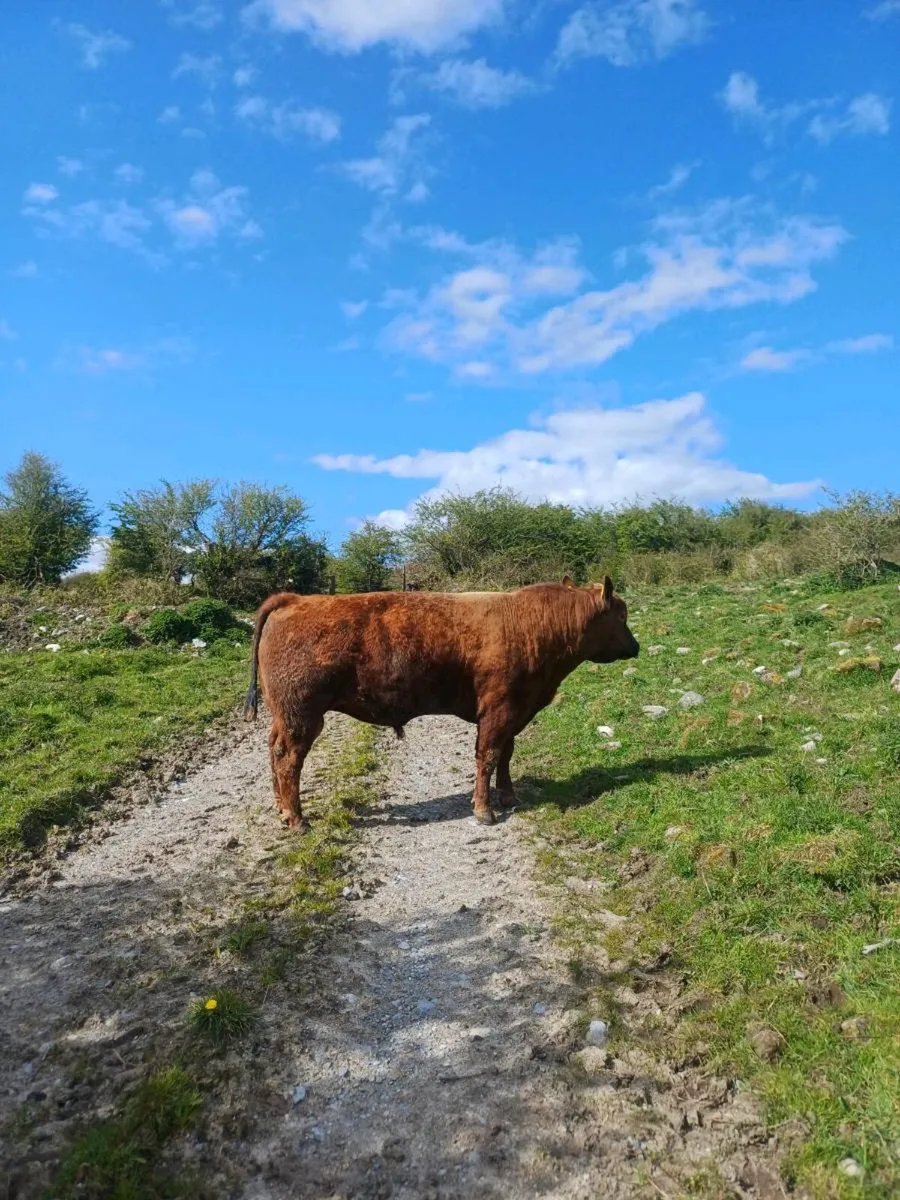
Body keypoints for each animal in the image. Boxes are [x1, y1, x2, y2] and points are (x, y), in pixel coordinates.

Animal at [245, 577, 639, 828]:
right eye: (621, 616)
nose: (635, 647)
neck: (529, 624)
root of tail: (295, 600)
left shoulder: (516, 712)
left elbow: (506, 755)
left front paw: (509, 797)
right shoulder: (498, 710)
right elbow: (488, 756)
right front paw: (484, 811)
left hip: (284, 716)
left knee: (273, 750)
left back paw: (282, 809)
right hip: (303, 717)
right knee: (288, 759)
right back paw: (297, 819)